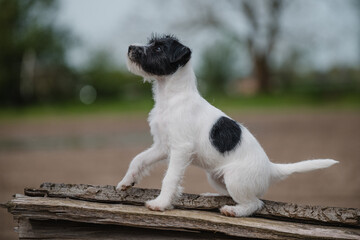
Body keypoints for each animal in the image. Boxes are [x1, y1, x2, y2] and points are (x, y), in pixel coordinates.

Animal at [116, 34, 338, 218]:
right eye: (151, 43)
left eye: (158, 49)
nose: (130, 47)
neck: (171, 97)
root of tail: (270, 168)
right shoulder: (162, 145)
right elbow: (138, 159)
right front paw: (126, 181)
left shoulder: (181, 149)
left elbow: (170, 178)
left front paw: (160, 203)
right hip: (216, 178)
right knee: (235, 195)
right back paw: (212, 196)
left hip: (234, 179)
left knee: (255, 203)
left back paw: (233, 210)